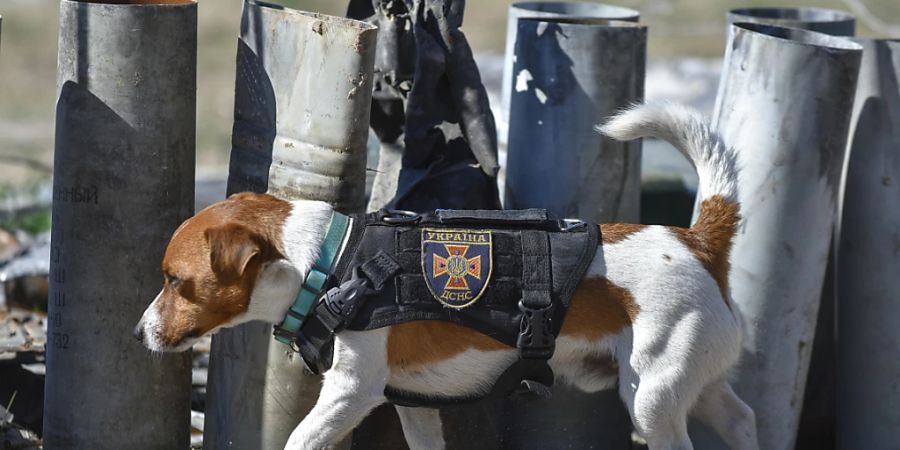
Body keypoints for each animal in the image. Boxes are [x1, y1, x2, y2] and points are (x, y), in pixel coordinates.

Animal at [135, 103, 760, 448]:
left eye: (174, 281)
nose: (138, 334)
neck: (329, 263)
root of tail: (697, 240)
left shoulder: (352, 391)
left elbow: (299, 439)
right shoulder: (414, 404)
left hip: (652, 398)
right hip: (696, 385)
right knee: (743, 420)